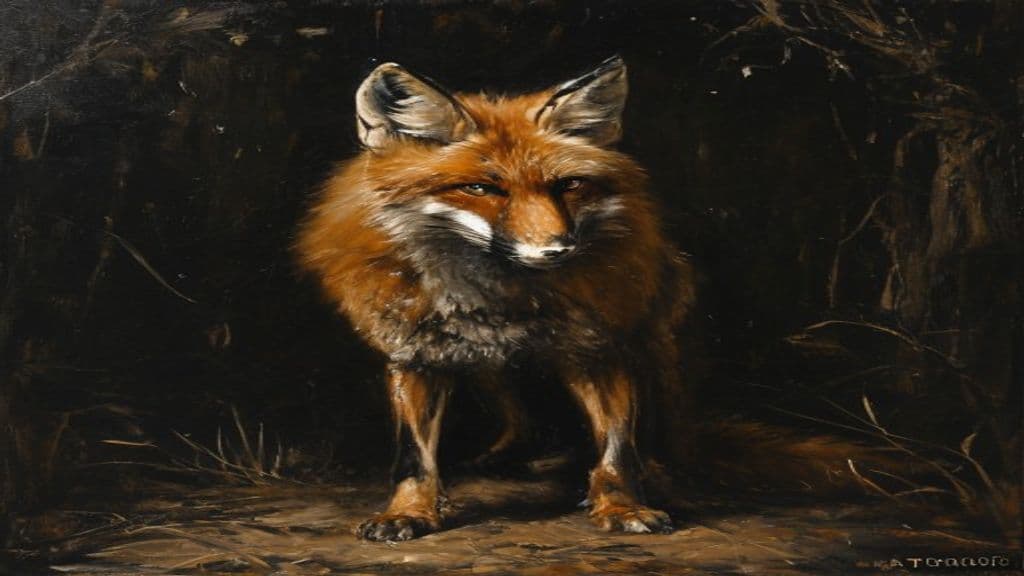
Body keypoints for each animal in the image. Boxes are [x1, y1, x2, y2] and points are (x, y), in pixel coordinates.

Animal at [296, 56, 701, 541]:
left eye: (568, 185)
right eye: (480, 189)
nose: (557, 249)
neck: (505, 302)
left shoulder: (600, 347)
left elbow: (617, 450)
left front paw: (623, 507)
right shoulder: (417, 355)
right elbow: (414, 457)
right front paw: (409, 512)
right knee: (520, 419)